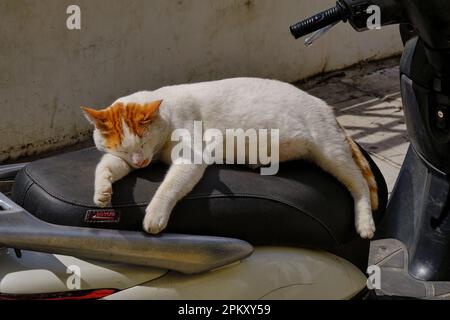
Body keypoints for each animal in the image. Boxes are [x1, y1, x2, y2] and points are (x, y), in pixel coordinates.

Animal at [82, 77, 378, 238]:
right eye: (123, 148)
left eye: (144, 140)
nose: (141, 163)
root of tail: (325, 105)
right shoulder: (126, 160)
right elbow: (106, 166)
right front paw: (102, 192)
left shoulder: (191, 157)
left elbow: (168, 187)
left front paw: (154, 214)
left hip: (331, 153)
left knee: (359, 185)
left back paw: (365, 222)